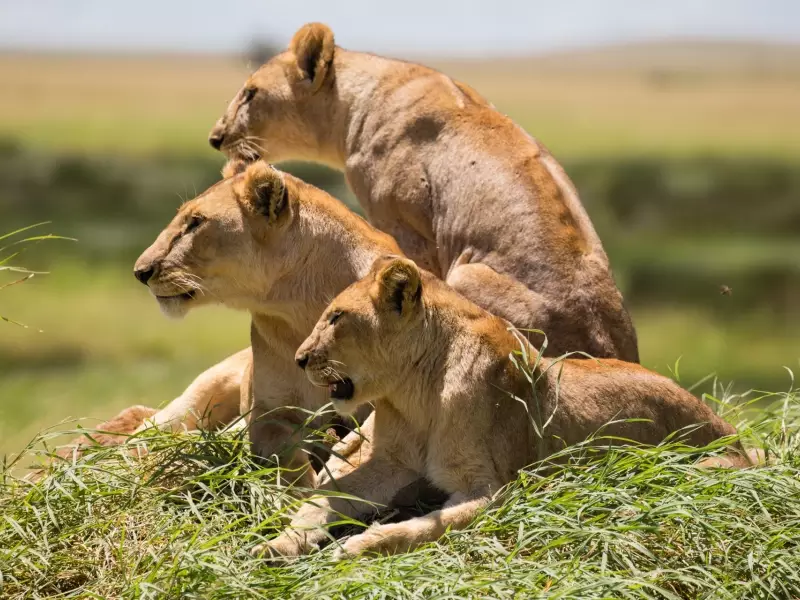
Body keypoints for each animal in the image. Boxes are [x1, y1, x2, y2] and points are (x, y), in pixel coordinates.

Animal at [260, 255, 752, 556]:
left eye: (336, 317)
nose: (300, 358)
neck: (413, 394)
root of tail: (732, 429)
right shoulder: (392, 463)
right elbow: (324, 497)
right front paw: (281, 543)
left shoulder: (496, 490)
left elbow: (430, 525)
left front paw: (360, 546)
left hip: (696, 469)